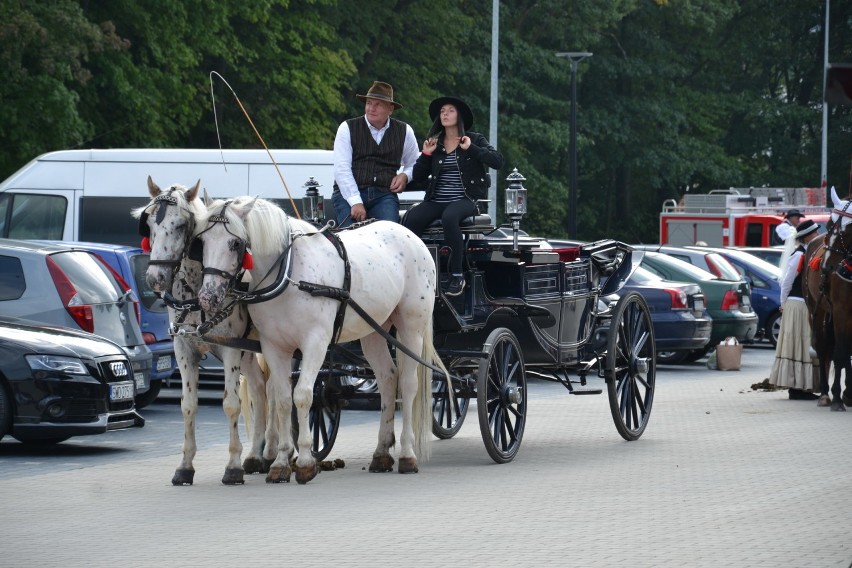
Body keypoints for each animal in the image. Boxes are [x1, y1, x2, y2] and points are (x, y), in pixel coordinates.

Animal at [131, 180, 274, 486]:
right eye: (148, 224)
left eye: (181, 225)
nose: (156, 279)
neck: (198, 293)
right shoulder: (184, 349)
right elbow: (188, 404)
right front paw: (185, 466)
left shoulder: (230, 348)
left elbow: (231, 404)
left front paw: (232, 467)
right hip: (249, 351)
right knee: (260, 388)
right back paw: (257, 455)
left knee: (278, 389)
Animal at [196, 196, 442, 484]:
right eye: (201, 241)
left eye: (234, 243)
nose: (208, 297)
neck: (290, 272)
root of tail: (410, 235)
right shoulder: (274, 347)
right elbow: (282, 399)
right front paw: (280, 463)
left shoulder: (316, 342)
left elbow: (302, 395)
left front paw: (304, 462)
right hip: (374, 329)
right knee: (388, 379)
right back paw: (381, 453)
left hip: (411, 327)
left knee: (408, 384)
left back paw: (406, 454)